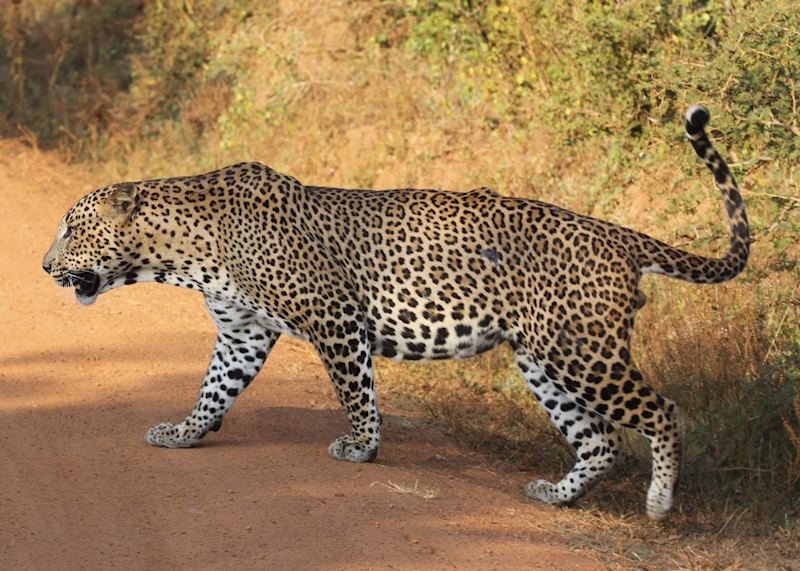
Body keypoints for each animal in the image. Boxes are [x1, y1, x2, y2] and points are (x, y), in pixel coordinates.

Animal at [43, 105, 748, 520]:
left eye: (71, 229)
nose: (45, 268)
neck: (183, 252)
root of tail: (618, 235)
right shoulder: (243, 333)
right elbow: (213, 389)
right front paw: (186, 433)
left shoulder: (332, 318)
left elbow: (356, 390)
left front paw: (361, 447)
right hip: (543, 358)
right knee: (598, 439)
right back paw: (556, 495)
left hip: (584, 351)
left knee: (663, 411)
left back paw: (659, 503)